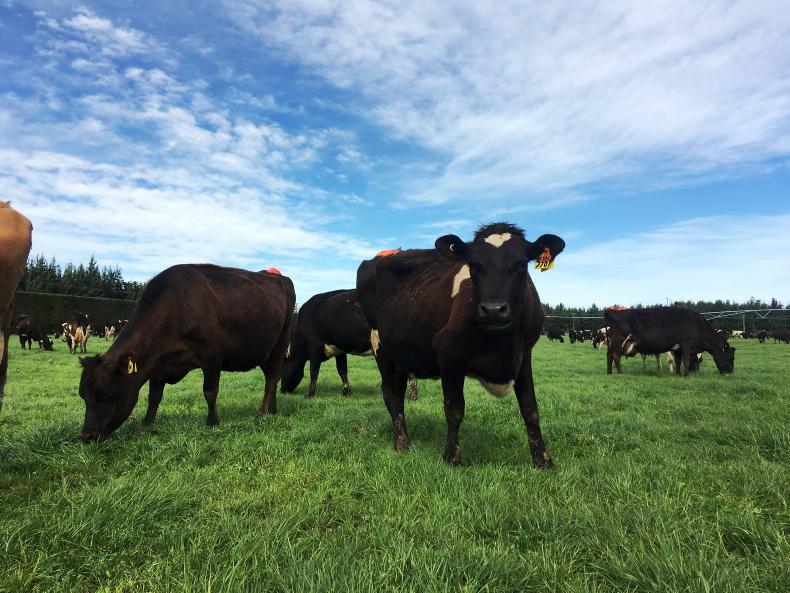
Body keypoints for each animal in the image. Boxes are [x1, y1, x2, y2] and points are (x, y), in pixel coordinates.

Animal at [77, 264, 295, 442]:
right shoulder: (158, 364)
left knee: (271, 379)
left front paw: (212, 422)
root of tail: (279, 277)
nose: (86, 436)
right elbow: (154, 396)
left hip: (280, 343)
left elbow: (210, 392)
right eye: (82, 395)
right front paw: (147, 424)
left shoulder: (212, 355)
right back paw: (273, 410)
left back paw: (262, 412)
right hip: (263, 351)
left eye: (104, 392)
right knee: (272, 378)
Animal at [281, 288, 418, 399]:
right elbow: (342, 370)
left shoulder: (314, 346)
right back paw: (413, 396)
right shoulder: (339, 349)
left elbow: (313, 371)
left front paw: (309, 394)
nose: (282, 390)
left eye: (282, 372)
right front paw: (347, 392)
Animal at [357, 222, 565, 467]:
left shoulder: (523, 355)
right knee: (391, 395)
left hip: (400, 353)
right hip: (380, 345)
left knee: (398, 395)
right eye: (474, 265)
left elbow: (530, 408)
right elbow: (454, 408)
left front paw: (543, 460)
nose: (493, 309)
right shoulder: (449, 355)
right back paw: (402, 444)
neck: (502, 343)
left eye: (521, 264)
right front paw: (451, 457)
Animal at [605, 306, 734, 376]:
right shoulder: (686, 343)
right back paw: (620, 373)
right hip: (619, 340)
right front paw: (686, 375)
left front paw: (678, 374)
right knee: (615, 355)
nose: (730, 373)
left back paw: (609, 372)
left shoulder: (677, 348)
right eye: (730, 358)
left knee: (609, 355)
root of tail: (612, 310)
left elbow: (678, 361)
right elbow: (686, 361)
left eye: (701, 361)